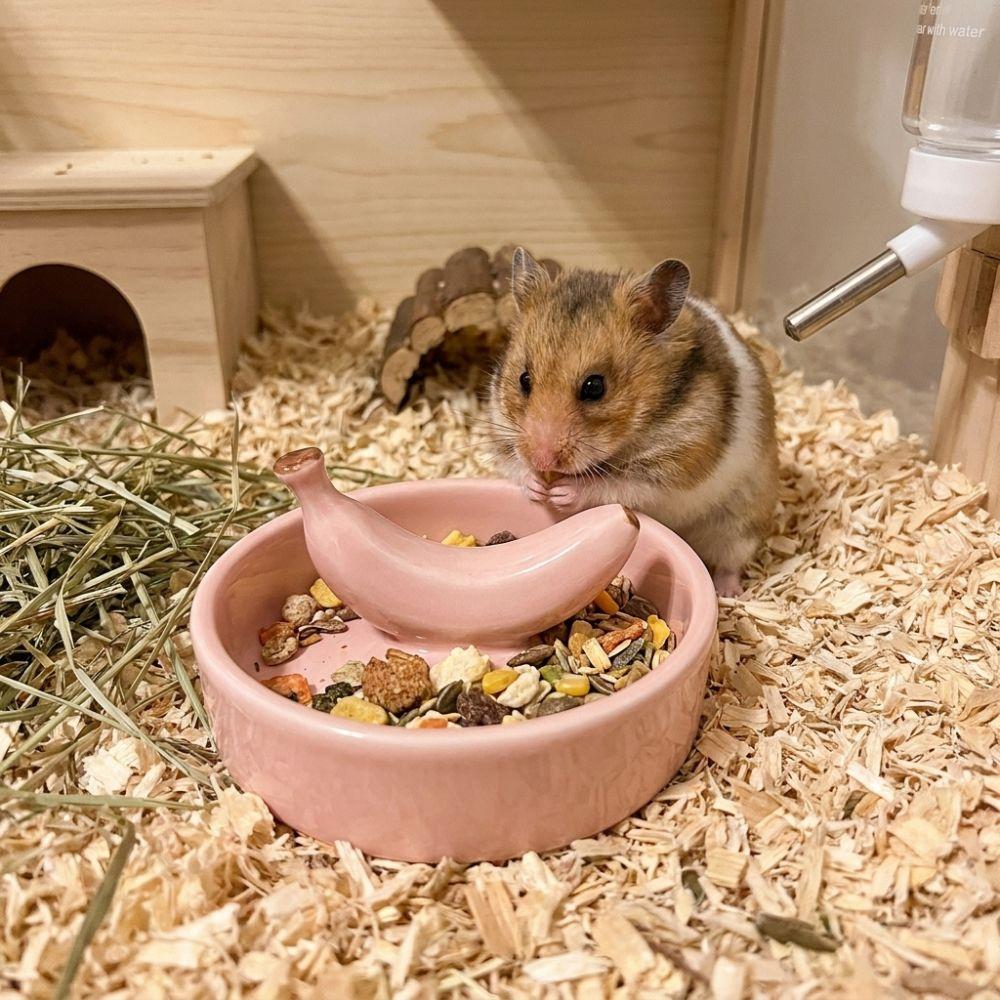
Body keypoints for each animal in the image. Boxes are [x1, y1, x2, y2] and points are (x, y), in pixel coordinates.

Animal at [487, 248, 778, 596]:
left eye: (595, 387)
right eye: (524, 379)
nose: (542, 460)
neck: (632, 433)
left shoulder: (676, 463)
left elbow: (616, 484)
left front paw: (562, 493)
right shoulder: (501, 429)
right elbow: (513, 464)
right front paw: (536, 487)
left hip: (740, 523)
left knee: (731, 560)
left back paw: (727, 592)